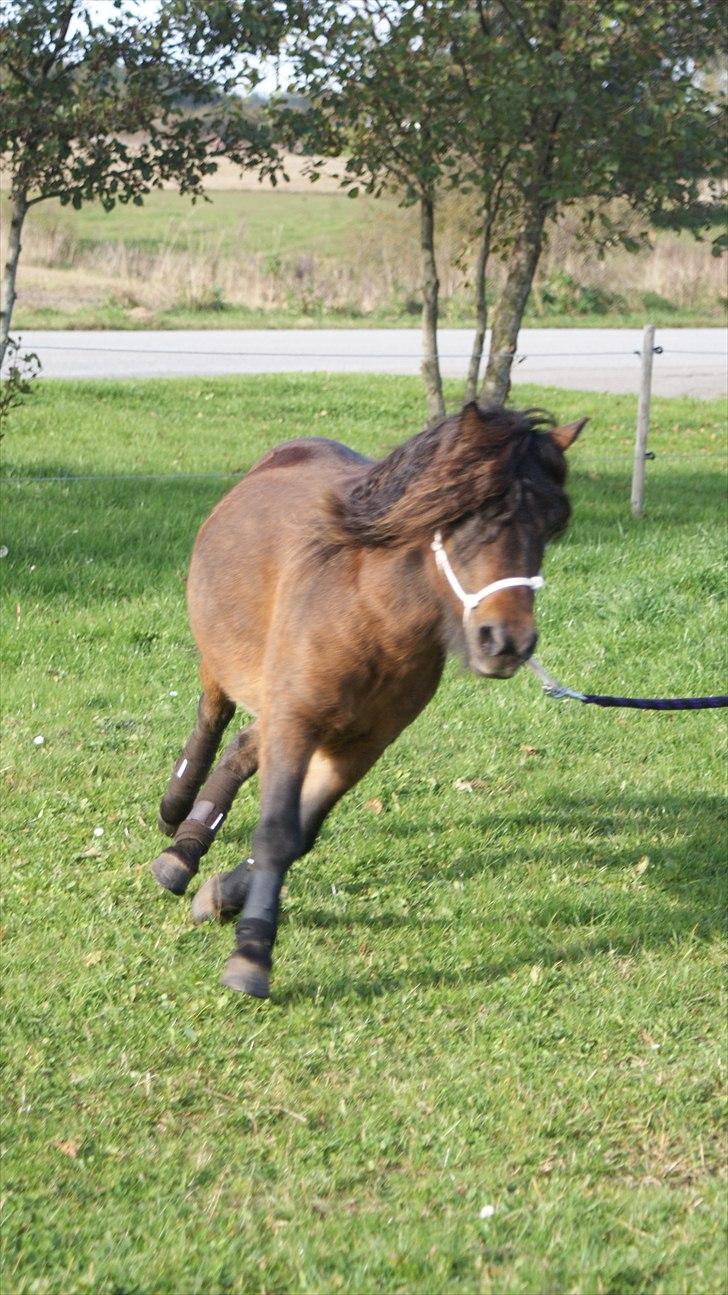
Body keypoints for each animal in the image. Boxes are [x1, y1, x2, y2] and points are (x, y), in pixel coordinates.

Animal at [148, 398, 582, 994]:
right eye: (471, 516)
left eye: (548, 524)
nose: (507, 642)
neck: (369, 615)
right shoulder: (298, 722)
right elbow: (277, 833)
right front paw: (251, 955)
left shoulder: (361, 744)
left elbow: (300, 835)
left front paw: (222, 898)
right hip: (224, 665)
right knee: (212, 723)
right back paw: (178, 835)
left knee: (242, 746)